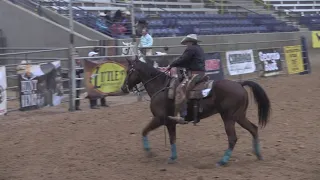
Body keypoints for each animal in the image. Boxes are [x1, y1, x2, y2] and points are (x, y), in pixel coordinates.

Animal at [120, 57, 270, 166]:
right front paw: (172, 157)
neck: (161, 87)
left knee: (233, 138)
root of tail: (239, 84)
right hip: (239, 116)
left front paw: (148, 152)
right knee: (254, 129)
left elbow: (144, 131)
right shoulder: (170, 122)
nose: (123, 88)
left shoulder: (159, 118)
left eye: (129, 71)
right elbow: (172, 139)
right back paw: (258, 154)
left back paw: (223, 161)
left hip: (228, 118)